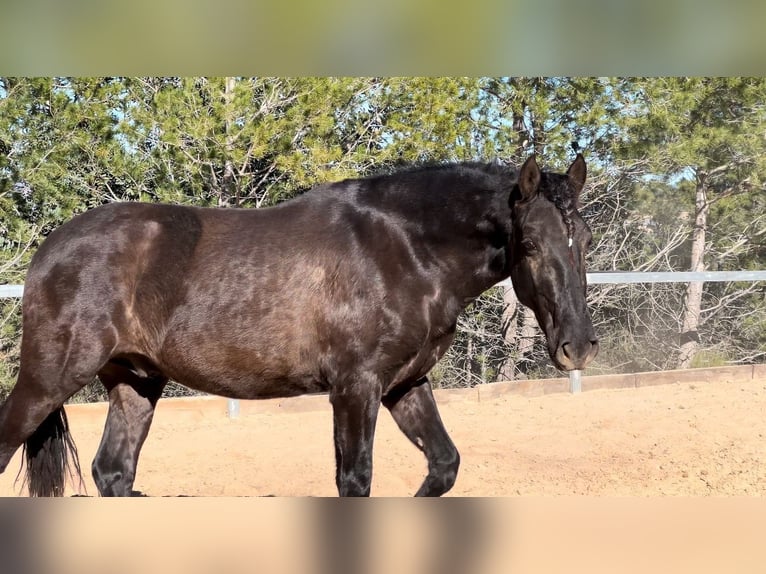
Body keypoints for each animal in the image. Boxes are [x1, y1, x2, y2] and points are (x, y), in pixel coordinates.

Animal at [0, 155, 600, 498]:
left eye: (586, 239)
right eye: (530, 244)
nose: (578, 346)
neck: (404, 247)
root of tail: (50, 248)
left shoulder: (405, 384)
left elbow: (444, 465)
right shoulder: (355, 388)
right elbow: (355, 480)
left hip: (136, 381)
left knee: (114, 473)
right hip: (49, 378)